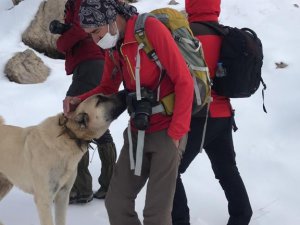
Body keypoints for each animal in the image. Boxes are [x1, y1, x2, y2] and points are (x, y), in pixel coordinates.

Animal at [0, 90, 126, 224]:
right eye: (100, 99)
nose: (125, 92)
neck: (67, 136)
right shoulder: (44, 200)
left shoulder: (63, 195)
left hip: (5, 184)